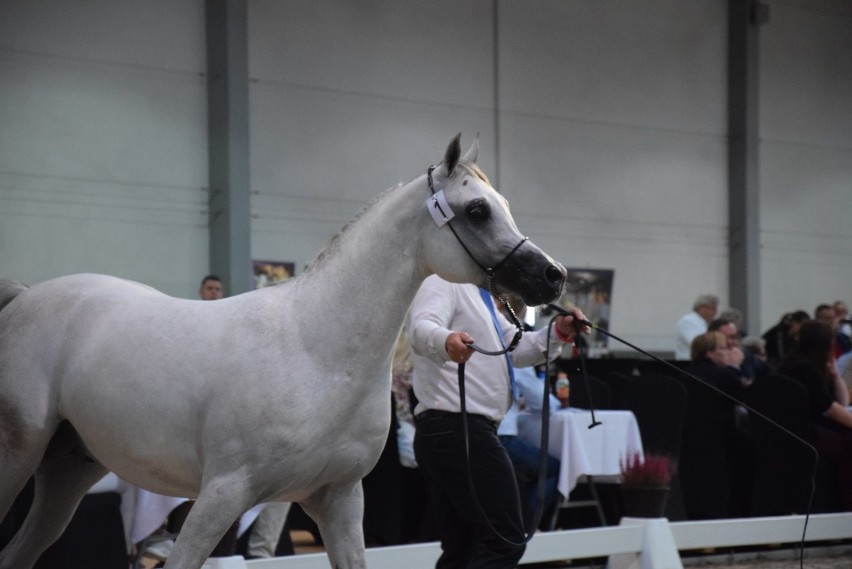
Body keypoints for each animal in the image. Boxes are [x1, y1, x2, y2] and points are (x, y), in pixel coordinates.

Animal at [0, 134, 564, 568]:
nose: (552, 276)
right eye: (477, 210)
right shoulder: (220, 495)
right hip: (19, 455)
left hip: (69, 471)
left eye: (503, 206)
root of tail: (24, 298)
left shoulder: (340, 502)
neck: (315, 352)